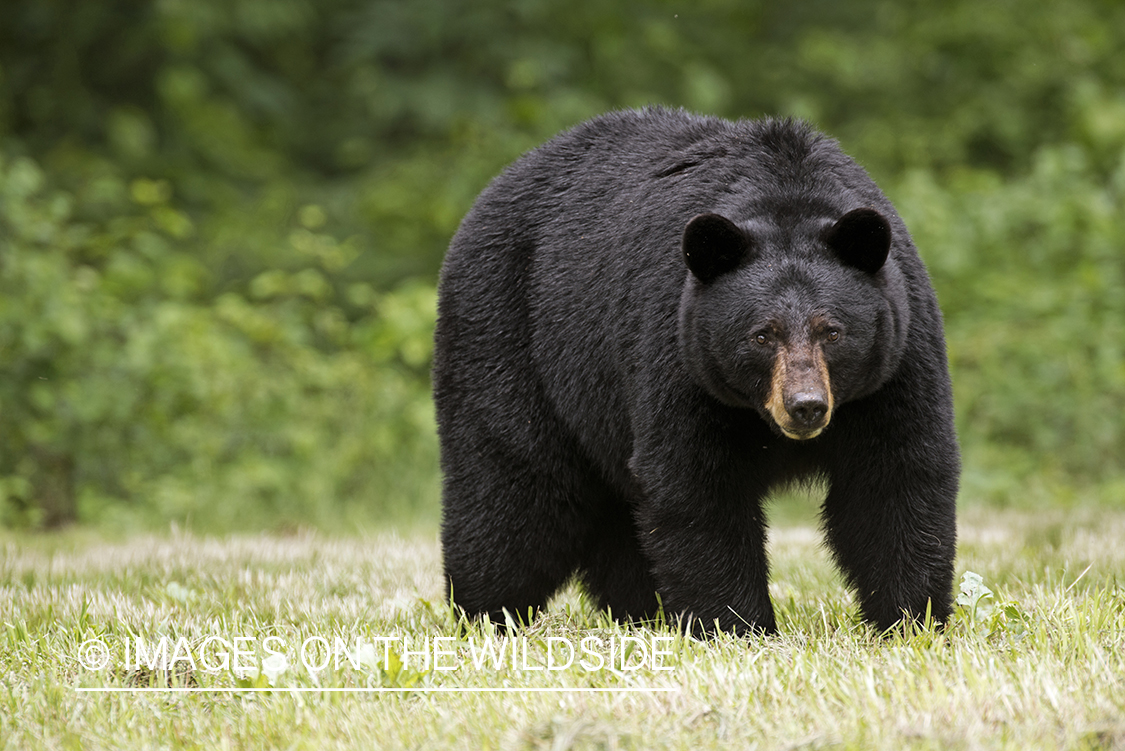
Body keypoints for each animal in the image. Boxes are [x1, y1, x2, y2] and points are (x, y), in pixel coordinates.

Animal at [429, 106, 958, 634]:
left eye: (832, 331)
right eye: (761, 335)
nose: (805, 407)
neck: (786, 194)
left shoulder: (896, 359)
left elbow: (895, 477)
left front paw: (912, 618)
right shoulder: (679, 349)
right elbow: (697, 486)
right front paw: (739, 626)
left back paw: (639, 614)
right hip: (508, 337)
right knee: (514, 484)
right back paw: (488, 612)